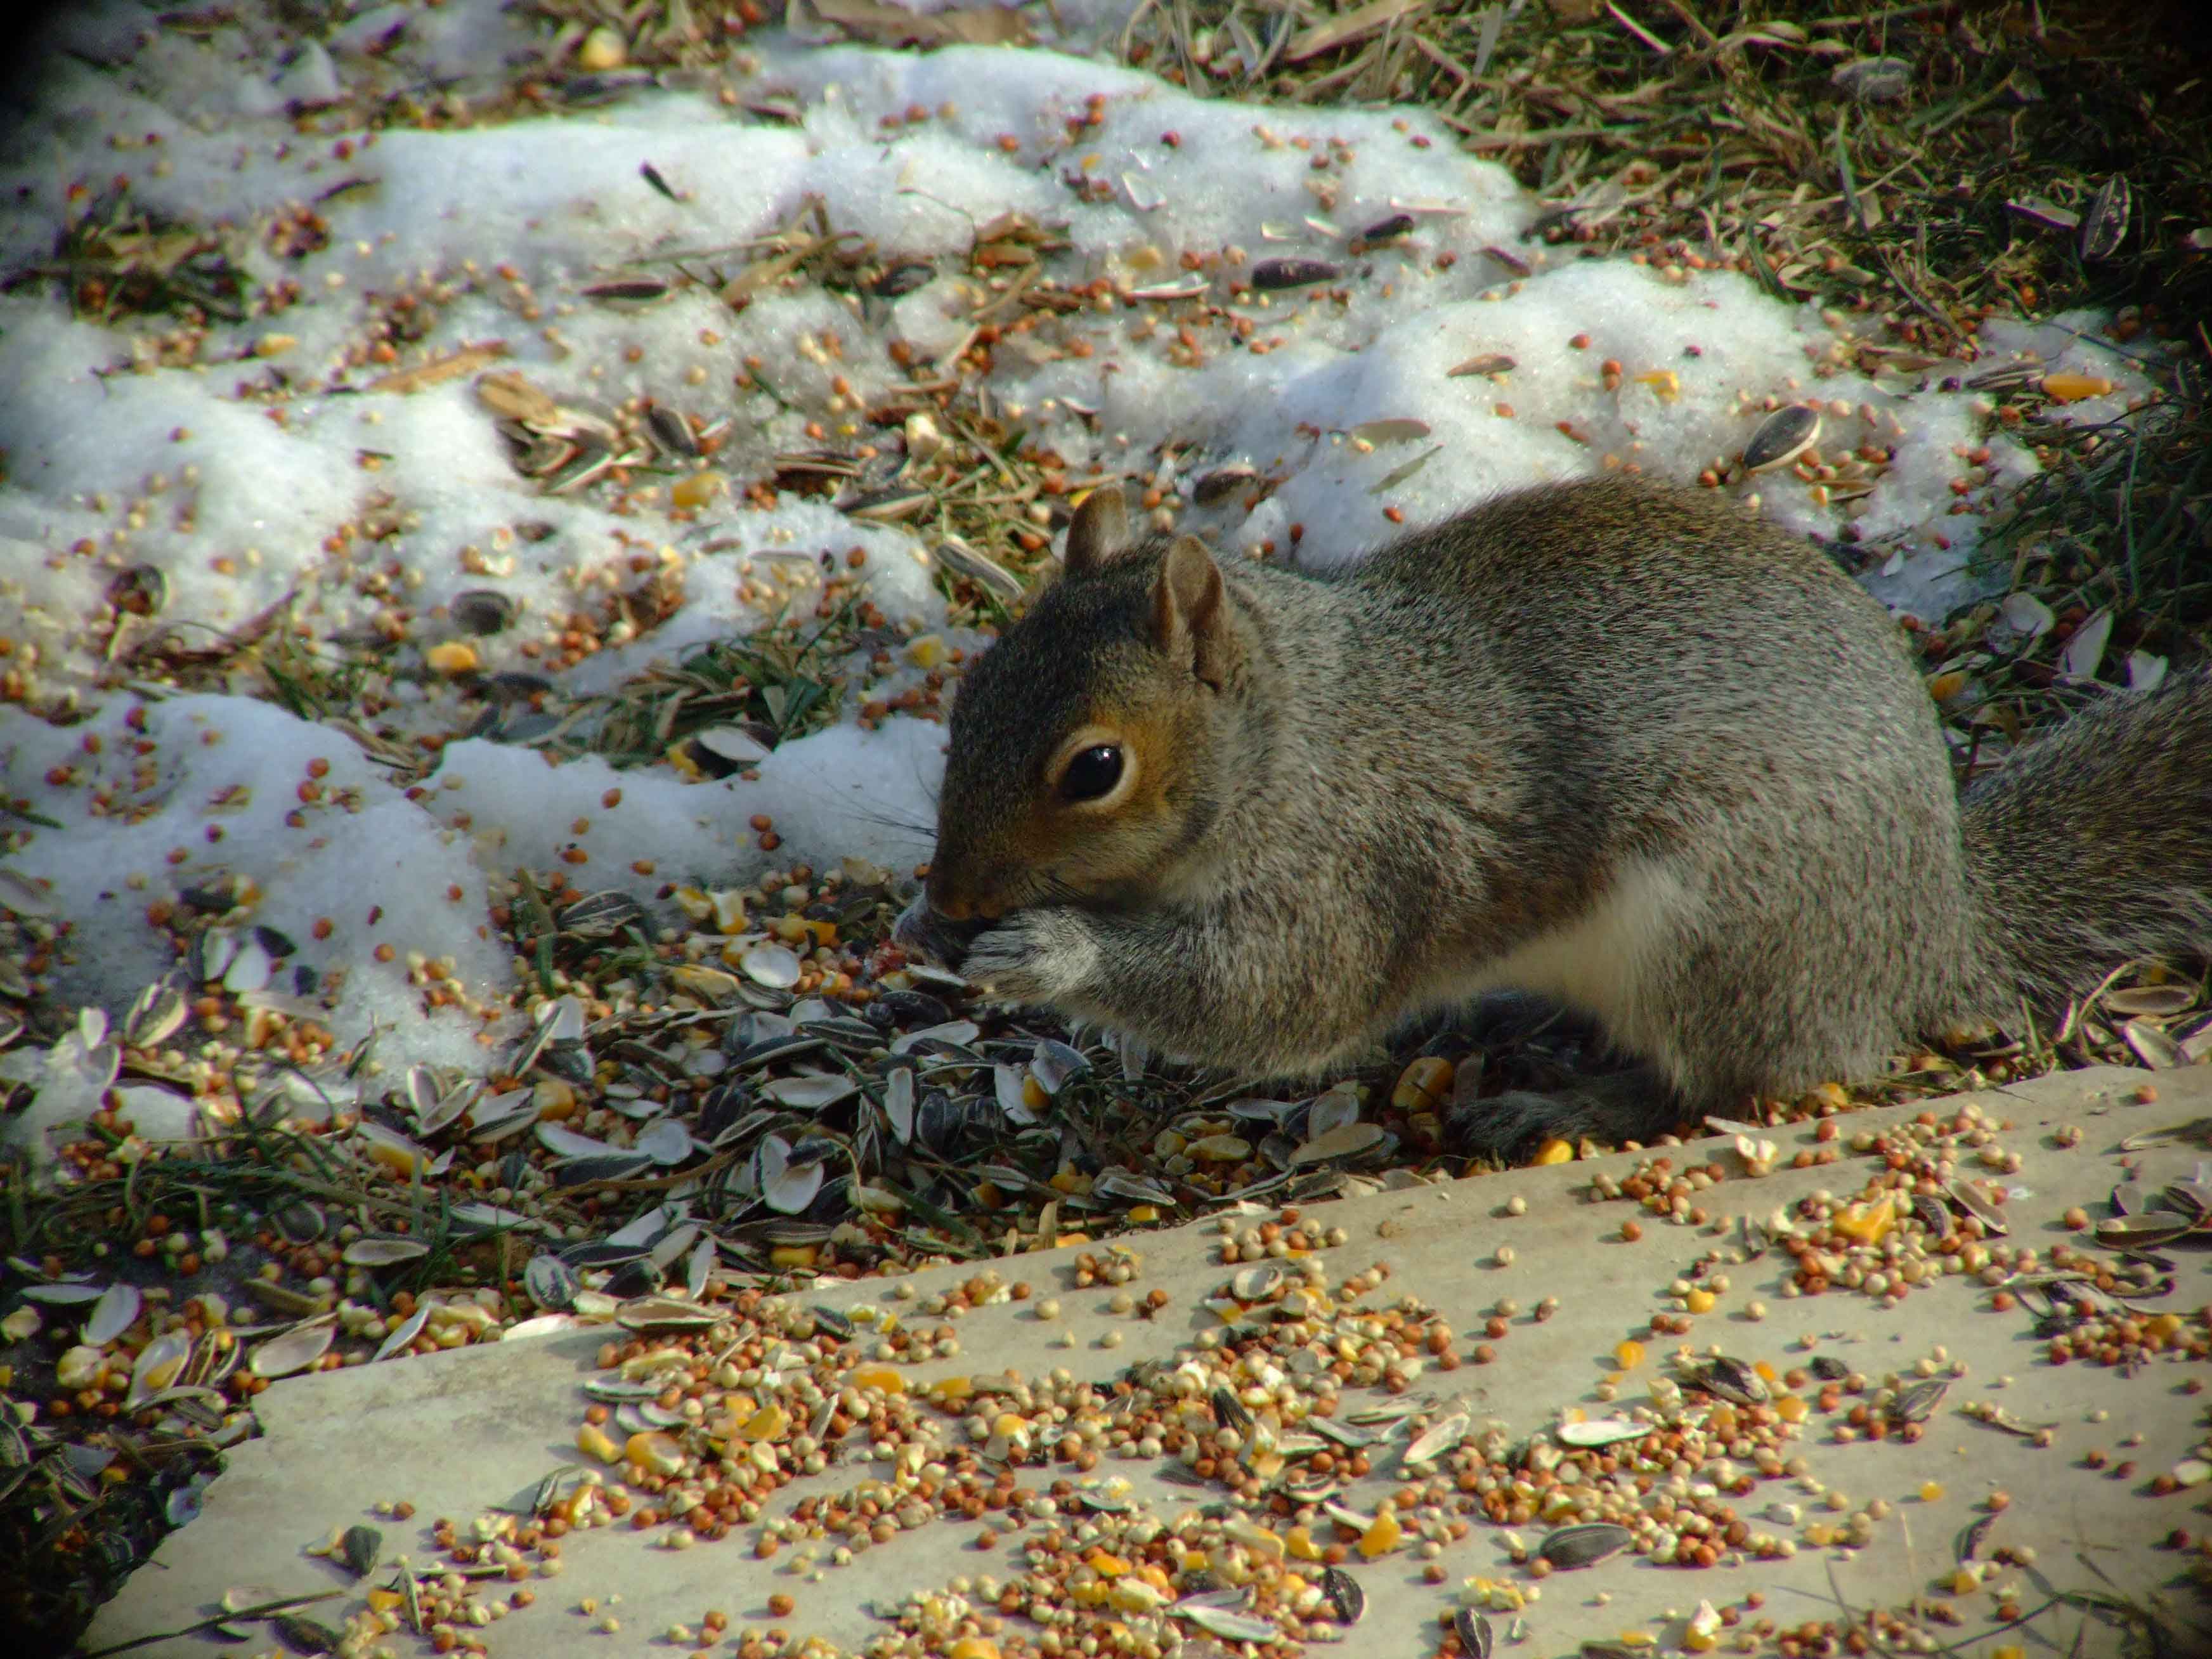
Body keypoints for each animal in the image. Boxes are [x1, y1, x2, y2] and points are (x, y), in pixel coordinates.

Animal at [894, 473, 2212, 1159]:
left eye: (1094, 767)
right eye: (968, 693)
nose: (951, 892)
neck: (1296, 739)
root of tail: (1928, 924)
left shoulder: (1356, 867)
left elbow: (1274, 999)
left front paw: (1048, 951)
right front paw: (924, 931)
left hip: (1715, 935)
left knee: (1735, 1084)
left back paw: (1566, 1105)